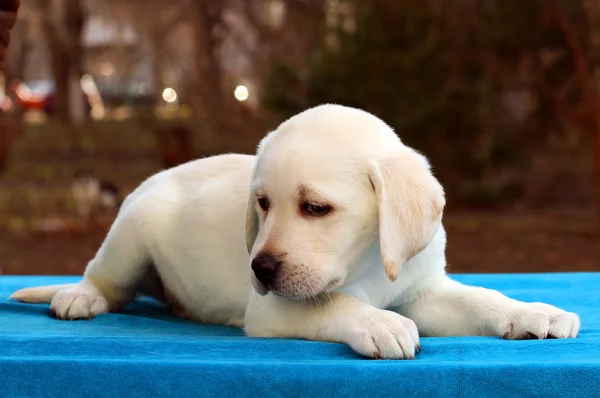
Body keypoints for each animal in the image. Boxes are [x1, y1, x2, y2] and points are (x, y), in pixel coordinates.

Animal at [11, 104, 580, 360]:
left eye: (315, 208)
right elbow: (335, 304)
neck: (367, 262)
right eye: (262, 204)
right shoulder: (273, 306)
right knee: (103, 279)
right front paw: (380, 324)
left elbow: (483, 298)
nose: (259, 269)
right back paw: (78, 297)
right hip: (129, 234)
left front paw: (534, 312)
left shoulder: (423, 291)